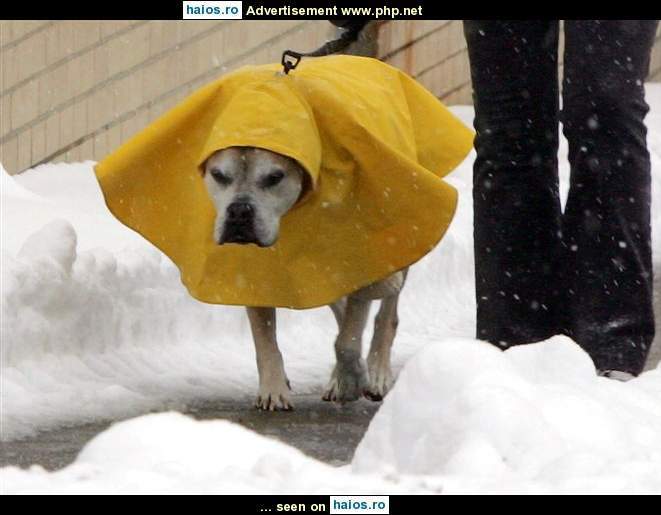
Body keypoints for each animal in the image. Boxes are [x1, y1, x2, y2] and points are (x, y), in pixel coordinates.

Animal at [201, 145, 408, 412]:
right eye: (218, 175)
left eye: (275, 177)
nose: (239, 211)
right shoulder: (254, 270)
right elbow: (263, 336)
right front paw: (273, 389)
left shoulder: (357, 251)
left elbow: (349, 337)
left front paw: (351, 379)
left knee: (386, 313)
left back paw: (376, 373)